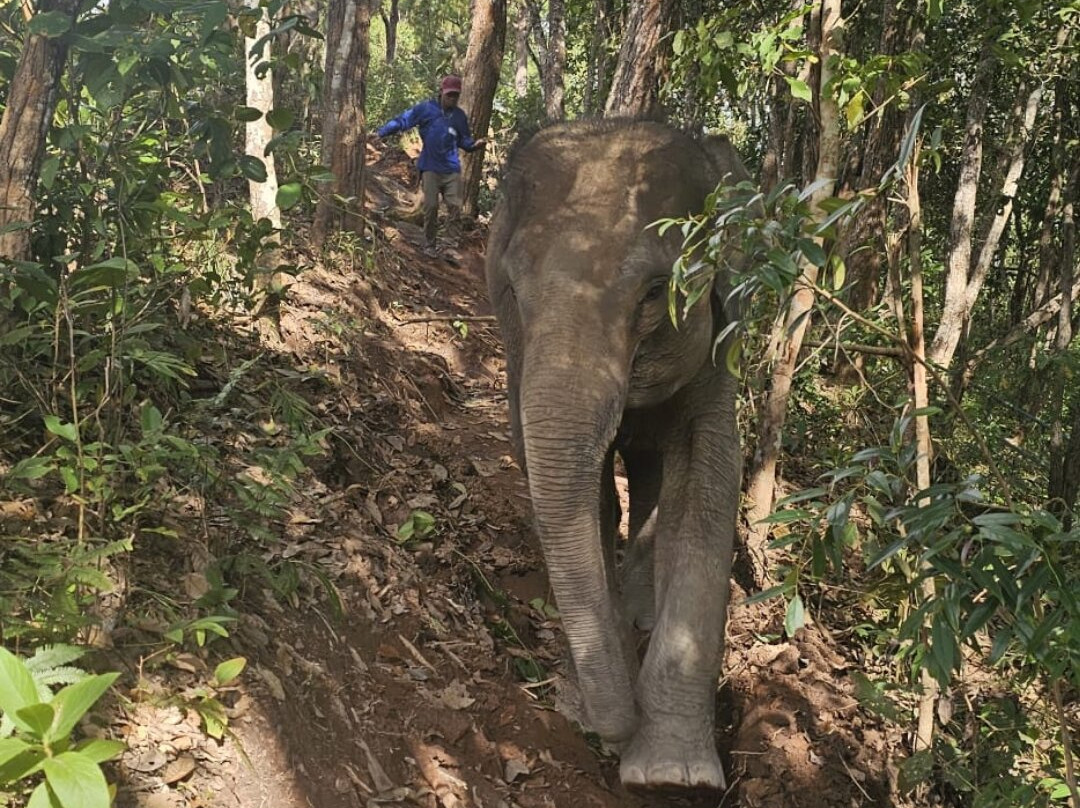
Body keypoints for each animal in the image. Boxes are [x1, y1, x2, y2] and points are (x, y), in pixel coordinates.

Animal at [485, 120, 749, 793]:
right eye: (512, 290)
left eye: (656, 292)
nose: (613, 727)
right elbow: (589, 492)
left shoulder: (720, 356)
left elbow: (710, 484)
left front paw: (671, 777)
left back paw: (643, 619)